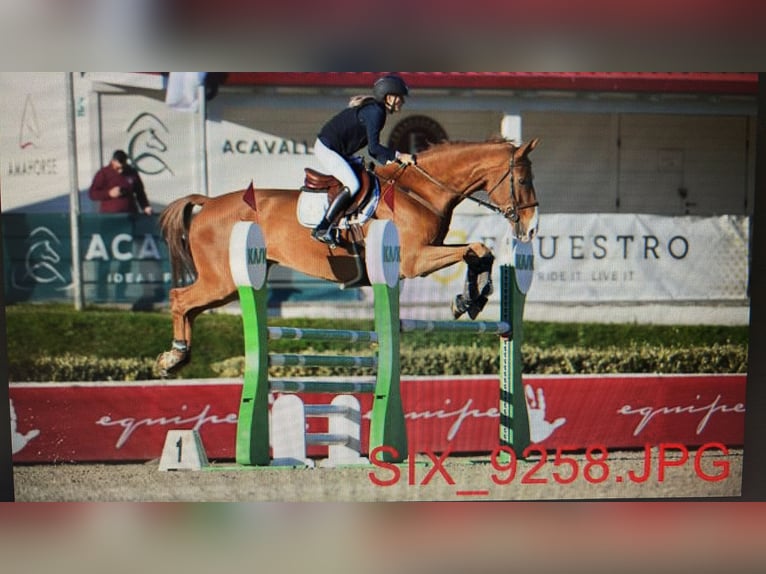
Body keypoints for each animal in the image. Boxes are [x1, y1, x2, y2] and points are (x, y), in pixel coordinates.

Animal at [154, 137, 540, 376]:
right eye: (522, 180)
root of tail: (208, 203)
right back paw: (174, 355)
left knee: (190, 308)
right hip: (222, 281)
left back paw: (177, 359)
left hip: (228, 285)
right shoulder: (414, 261)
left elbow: (480, 252)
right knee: (179, 299)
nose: (531, 229)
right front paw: (469, 299)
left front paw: (471, 299)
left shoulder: (423, 256)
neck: (420, 192)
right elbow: (477, 249)